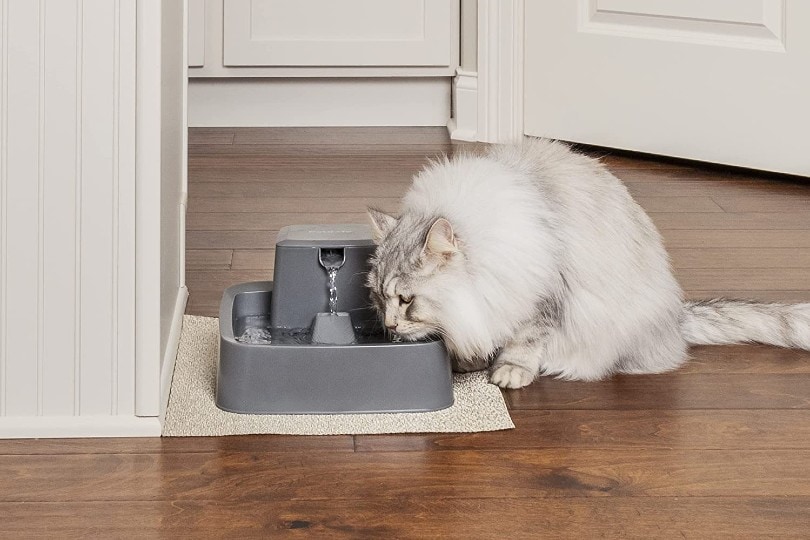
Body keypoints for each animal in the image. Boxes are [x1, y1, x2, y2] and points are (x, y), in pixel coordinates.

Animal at [364, 139, 808, 388]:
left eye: (407, 300)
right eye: (379, 298)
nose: (389, 326)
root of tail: (676, 316)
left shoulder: (542, 295)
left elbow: (524, 340)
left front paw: (510, 372)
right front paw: (466, 361)